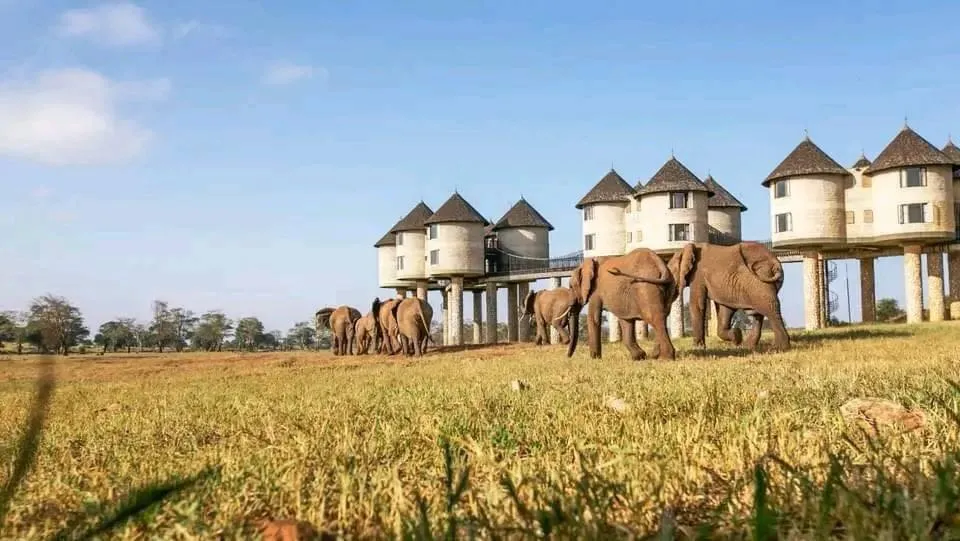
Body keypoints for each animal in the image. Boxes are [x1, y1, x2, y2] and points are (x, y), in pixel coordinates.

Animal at [664, 240, 792, 350]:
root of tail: (775, 262)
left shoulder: (698, 275)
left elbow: (697, 305)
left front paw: (698, 347)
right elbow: (725, 309)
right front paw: (737, 337)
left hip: (761, 279)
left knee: (769, 307)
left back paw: (779, 347)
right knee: (758, 313)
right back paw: (748, 346)